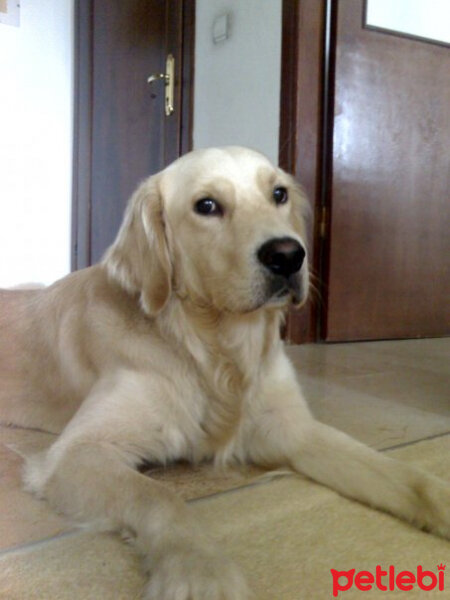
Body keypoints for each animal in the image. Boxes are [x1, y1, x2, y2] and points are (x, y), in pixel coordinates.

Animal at [0, 146, 450, 600]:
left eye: (279, 193)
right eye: (207, 206)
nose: (288, 255)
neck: (215, 348)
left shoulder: (290, 428)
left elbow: (402, 474)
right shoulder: (78, 452)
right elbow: (160, 496)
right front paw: (200, 569)